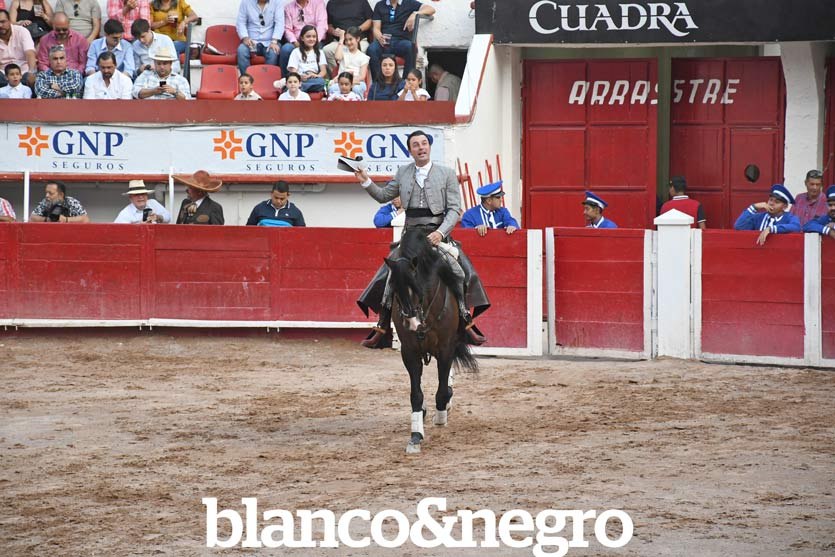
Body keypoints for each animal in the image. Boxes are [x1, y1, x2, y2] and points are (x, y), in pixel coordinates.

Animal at [383, 227, 478, 454]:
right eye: (393, 288)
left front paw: (441, 416)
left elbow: (442, 389)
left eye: (415, 285)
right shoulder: (409, 352)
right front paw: (415, 436)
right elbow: (416, 394)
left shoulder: (446, 348)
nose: (411, 323)